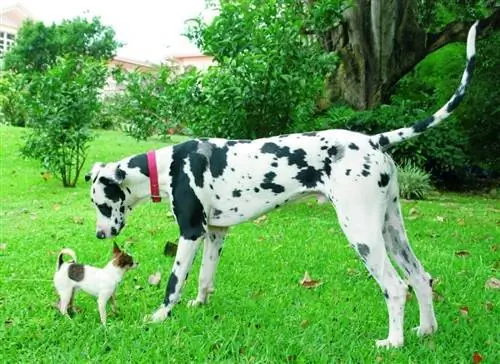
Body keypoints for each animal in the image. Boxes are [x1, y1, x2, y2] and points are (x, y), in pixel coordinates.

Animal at [85, 22, 476, 346]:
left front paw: (160, 316)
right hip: (392, 230)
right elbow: (204, 279)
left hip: (363, 233)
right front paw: (200, 305)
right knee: (421, 278)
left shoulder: (191, 233)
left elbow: (174, 282)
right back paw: (425, 331)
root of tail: (374, 140)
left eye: (101, 203)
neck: (167, 166)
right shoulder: (216, 233)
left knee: (396, 287)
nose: (100, 235)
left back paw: (393, 343)